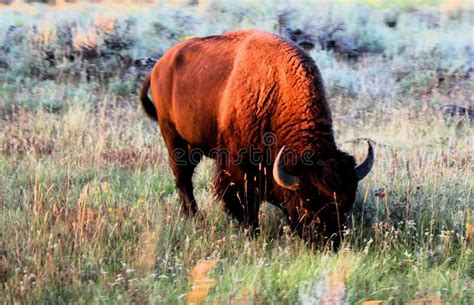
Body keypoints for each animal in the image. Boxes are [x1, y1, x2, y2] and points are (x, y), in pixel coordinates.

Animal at [141, 29, 374, 245]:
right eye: (306, 204)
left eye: (346, 204)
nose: (329, 241)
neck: (276, 90)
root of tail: (160, 66)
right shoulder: (239, 168)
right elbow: (244, 202)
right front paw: (252, 234)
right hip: (172, 136)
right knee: (182, 177)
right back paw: (194, 217)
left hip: (193, 144)